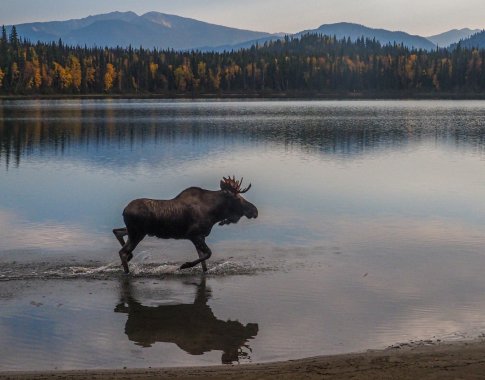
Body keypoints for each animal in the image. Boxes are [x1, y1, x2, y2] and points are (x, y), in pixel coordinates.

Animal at [112, 176, 258, 274]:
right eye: (237, 198)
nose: (254, 210)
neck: (214, 214)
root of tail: (124, 210)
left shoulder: (200, 237)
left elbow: (204, 262)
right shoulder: (194, 234)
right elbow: (208, 254)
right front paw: (185, 265)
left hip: (136, 231)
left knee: (117, 232)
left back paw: (129, 258)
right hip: (137, 233)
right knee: (122, 251)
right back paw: (127, 271)